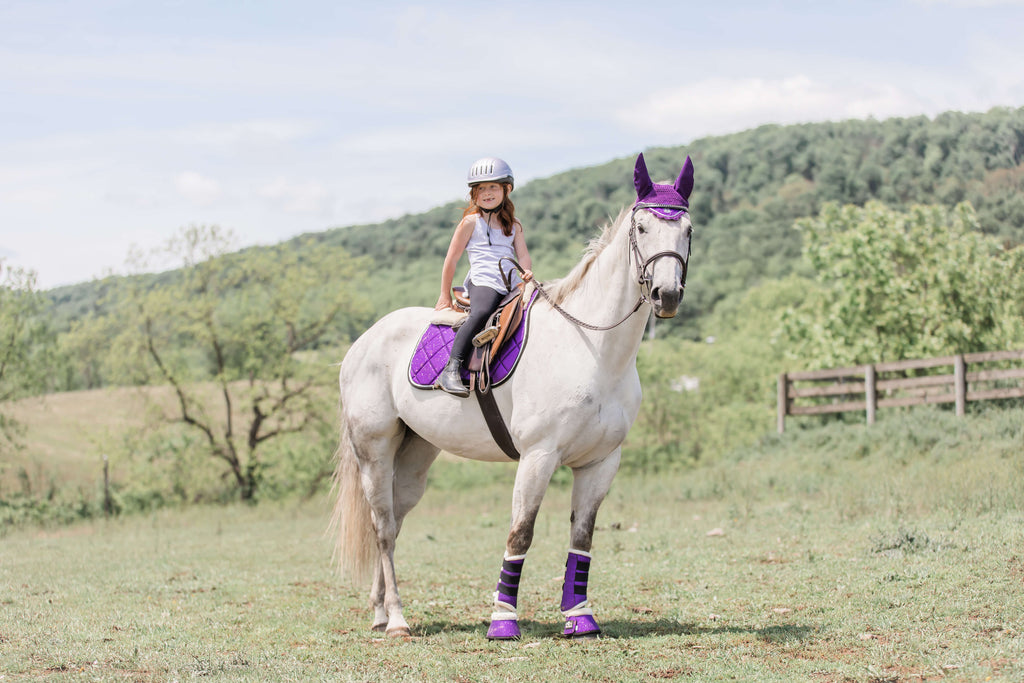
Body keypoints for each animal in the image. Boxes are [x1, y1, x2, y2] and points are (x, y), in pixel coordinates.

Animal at [331, 152, 692, 638]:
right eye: (642, 227)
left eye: (687, 228)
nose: (666, 294)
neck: (591, 347)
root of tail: (362, 342)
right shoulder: (538, 456)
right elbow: (520, 533)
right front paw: (503, 621)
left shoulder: (601, 462)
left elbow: (582, 538)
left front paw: (580, 617)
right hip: (374, 450)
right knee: (383, 528)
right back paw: (397, 620)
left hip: (413, 455)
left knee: (392, 520)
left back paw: (379, 611)